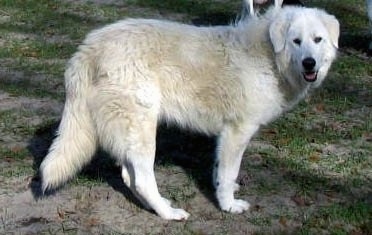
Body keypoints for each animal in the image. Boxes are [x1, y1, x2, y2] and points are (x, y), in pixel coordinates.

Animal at [40, 5, 340, 220]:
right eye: (296, 41)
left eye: (317, 40)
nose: (309, 63)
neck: (269, 56)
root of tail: (89, 47)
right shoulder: (237, 131)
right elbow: (228, 173)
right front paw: (228, 205)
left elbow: (221, 173)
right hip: (142, 131)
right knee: (142, 179)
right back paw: (169, 213)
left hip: (130, 132)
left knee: (129, 177)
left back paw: (157, 205)